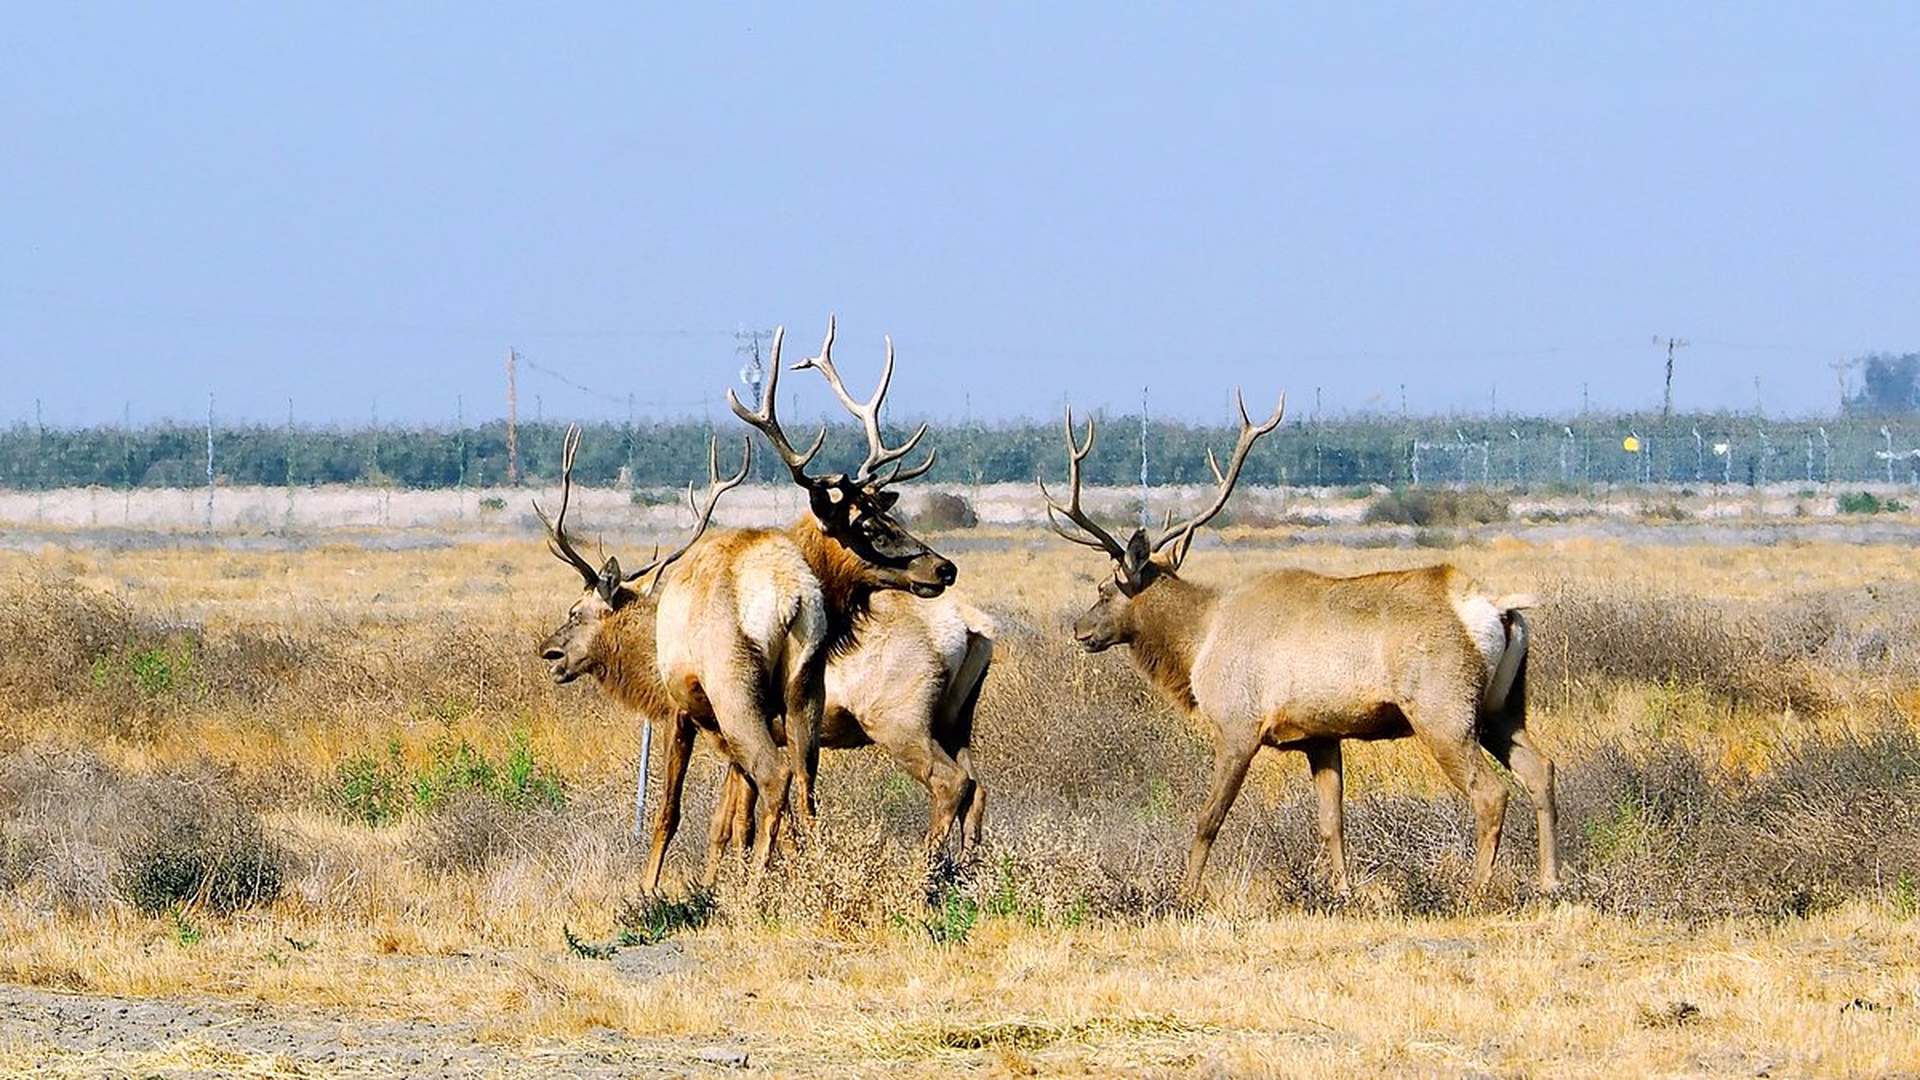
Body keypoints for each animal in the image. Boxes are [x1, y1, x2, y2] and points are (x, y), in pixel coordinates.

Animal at [541, 316, 958, 883]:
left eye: (575, 612)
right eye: (875, 523)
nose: (550, 652)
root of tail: (791, 592)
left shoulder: (682, 713)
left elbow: (674, 813)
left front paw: (654, 888)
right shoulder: (733, 729)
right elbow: (732, 818)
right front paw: (722, 878)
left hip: (763, 694)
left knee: (788, 776)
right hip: (805, 689)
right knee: (806, 786)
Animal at [1043, 393, 1560, 900]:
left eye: (1104, 589)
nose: (1079, 629)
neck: (1198, 643)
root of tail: (1499, 609)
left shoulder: (1238, 725)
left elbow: (1209, 819)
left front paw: (1185, 894)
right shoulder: (1320, 733)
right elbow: (1332, 822)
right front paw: (1344, 891)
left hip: (1443, 710)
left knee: (1491, 793)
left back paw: (1474, 889)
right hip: (1501, 708)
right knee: (1542, 770)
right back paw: (1550, 880)